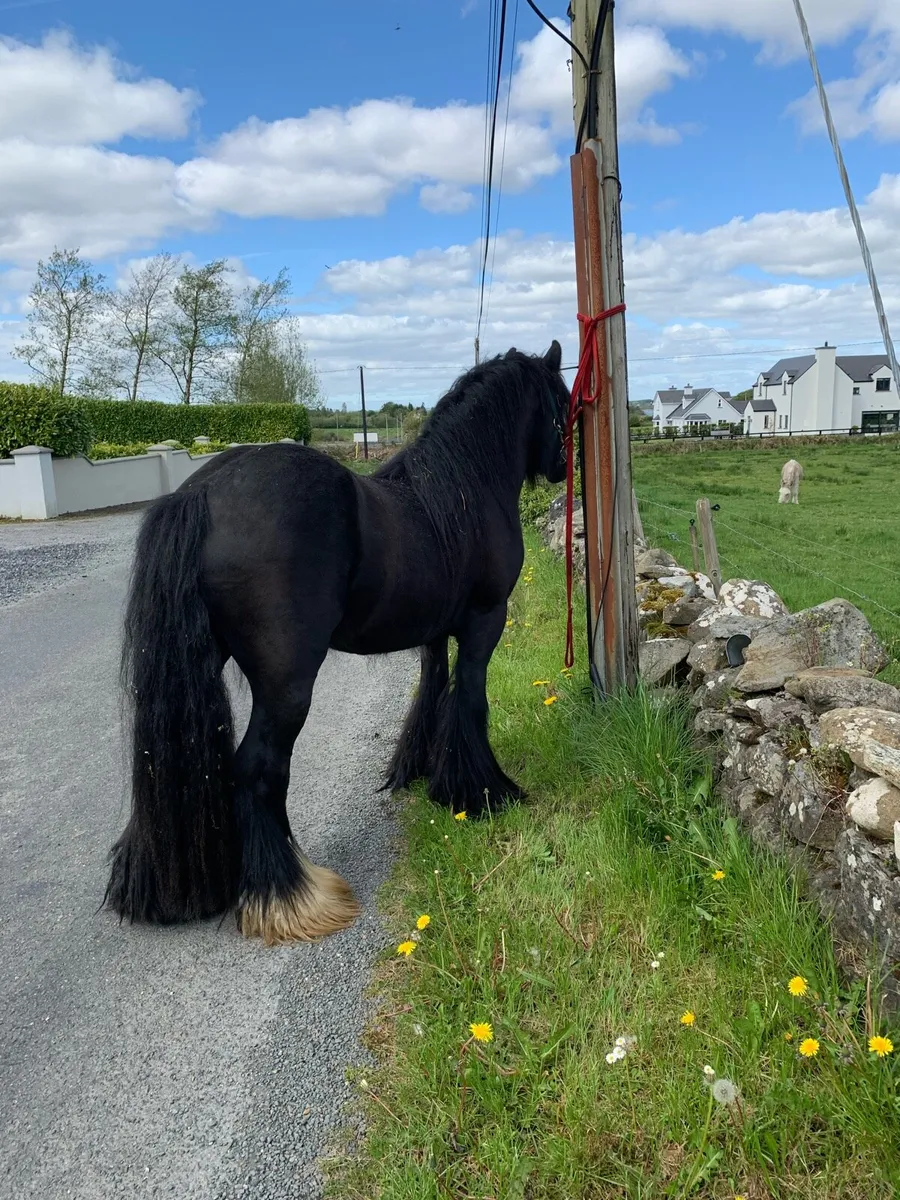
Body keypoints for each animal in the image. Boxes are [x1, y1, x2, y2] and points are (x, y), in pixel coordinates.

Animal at [104, 341, 570, 946]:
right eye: (562, 401)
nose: (563, 466)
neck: (462, 491)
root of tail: (201, 495)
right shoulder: (483, 623)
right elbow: (470, 701)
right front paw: (483, 792)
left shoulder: (432, 634)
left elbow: (433, 692)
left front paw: (422, 772)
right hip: (287, 684)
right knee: (258, 768)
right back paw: (291, 897)